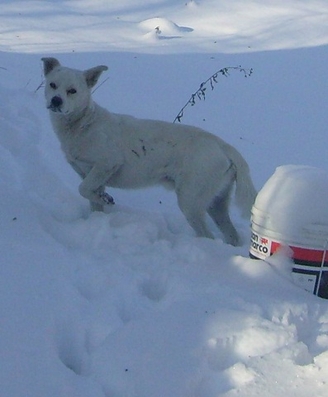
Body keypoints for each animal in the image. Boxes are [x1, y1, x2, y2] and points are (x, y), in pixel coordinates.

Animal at [41, 56, 256, 243]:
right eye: (52, 85)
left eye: (72, 91)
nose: (56, 101)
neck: (83, 124)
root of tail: (224, 146)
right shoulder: (87, 173)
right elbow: (91, 197)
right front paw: (99, 209)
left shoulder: (107, 163)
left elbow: (83, 189)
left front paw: (106, 199)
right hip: (216, 203)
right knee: (232, 236)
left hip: (190, 201)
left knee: (207, 235)